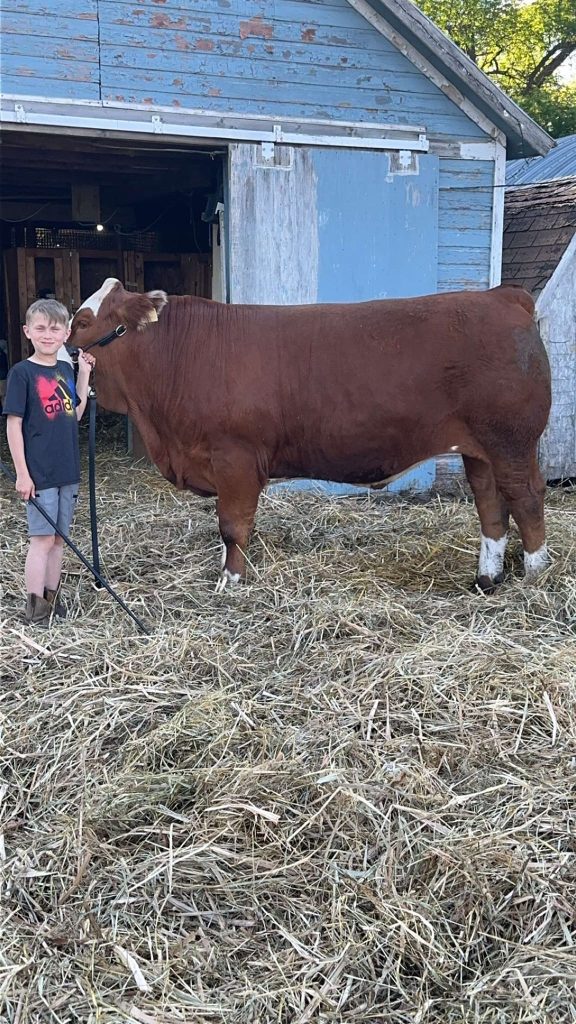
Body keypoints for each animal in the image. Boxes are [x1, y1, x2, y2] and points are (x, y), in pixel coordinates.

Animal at [68, 278, 551, 593]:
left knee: (526, 499)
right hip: (480, 450)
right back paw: (487, 578)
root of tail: (501, 297)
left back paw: (534, 578)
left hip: (512, 442)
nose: (63, 353)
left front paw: (230, 582)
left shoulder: (234, 458)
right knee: (490, 503)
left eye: (84, 320)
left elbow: (232, 526)